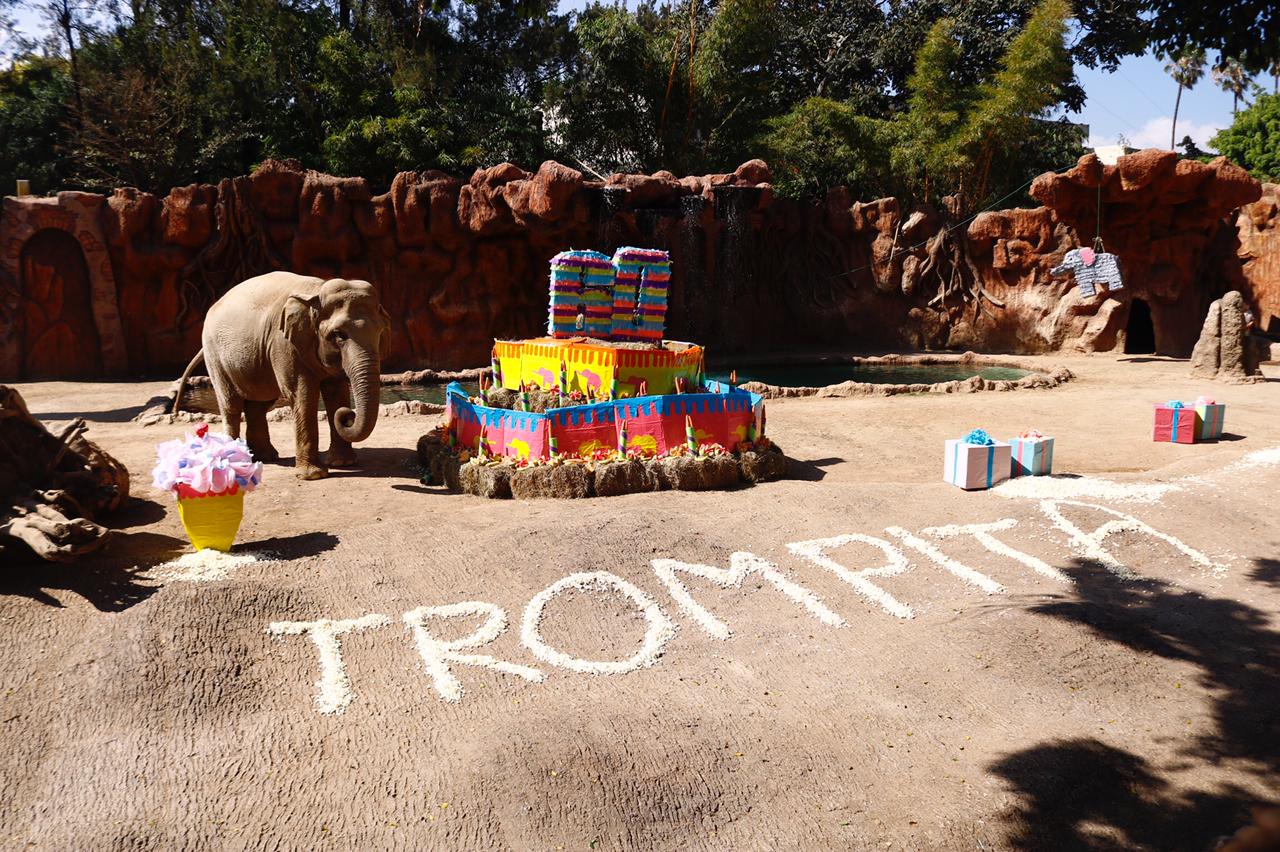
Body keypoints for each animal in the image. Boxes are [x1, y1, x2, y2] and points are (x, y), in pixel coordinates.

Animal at [172, 272, 389, 478]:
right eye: (338, 335)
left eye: (380, 332)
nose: (348, 414)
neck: (316, 292)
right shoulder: (284, 344)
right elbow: (303, 395)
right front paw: (314, 475)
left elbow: (336, 392)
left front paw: (343, 463)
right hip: (215, 356)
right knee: (231, 405)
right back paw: (234, 458)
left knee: (258, 404)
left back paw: (264, 457)